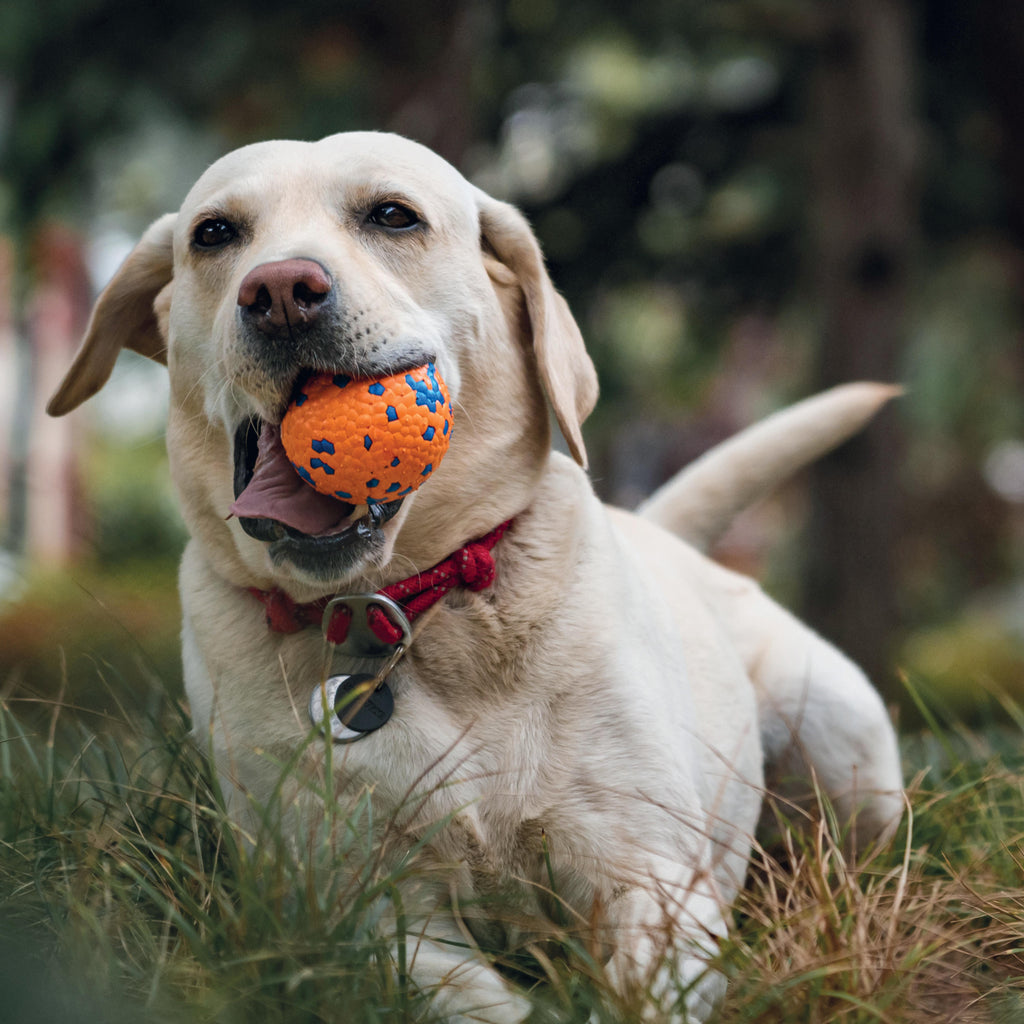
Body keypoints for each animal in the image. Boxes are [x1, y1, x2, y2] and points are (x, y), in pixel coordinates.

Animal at [48, 132, 901, 1019]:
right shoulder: (361, 917)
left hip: (843, 746)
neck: (401, 606)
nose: (279, 290)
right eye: (214, 234)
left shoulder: (655, 878)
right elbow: (477, 997)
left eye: (394, 215)